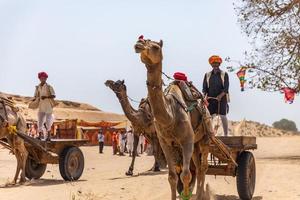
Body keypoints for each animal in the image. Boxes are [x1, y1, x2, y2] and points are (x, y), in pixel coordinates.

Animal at [135, 37, 212, 200]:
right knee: (197, 166)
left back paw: (201, 195)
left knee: (203, 167)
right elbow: (172, 176)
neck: (170, 116)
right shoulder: (165, 143)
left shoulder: (186, 140)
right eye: (141, 40)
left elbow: (186, 175)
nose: (138, 44)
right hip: (195, 144)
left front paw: (186, 195)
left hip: (205, 138)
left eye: (156, 47)